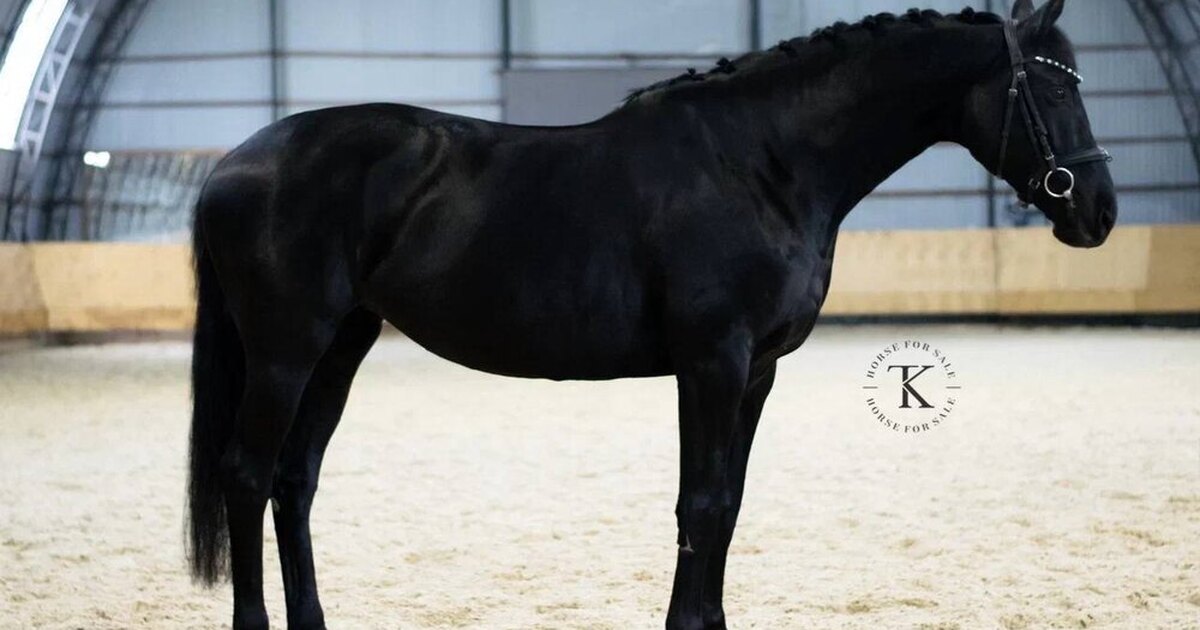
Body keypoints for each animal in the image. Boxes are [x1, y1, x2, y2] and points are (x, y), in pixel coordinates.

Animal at [186, 2, 1115, 627]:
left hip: (339, 348)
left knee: (293, 480)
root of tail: (237, 162)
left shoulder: (757, 372)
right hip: (285, 352)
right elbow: (698, 505)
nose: (1097, 212)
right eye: (1050, 86)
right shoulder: (711, 363)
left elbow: (728, 503)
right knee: (246, 475)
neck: (762, 163)